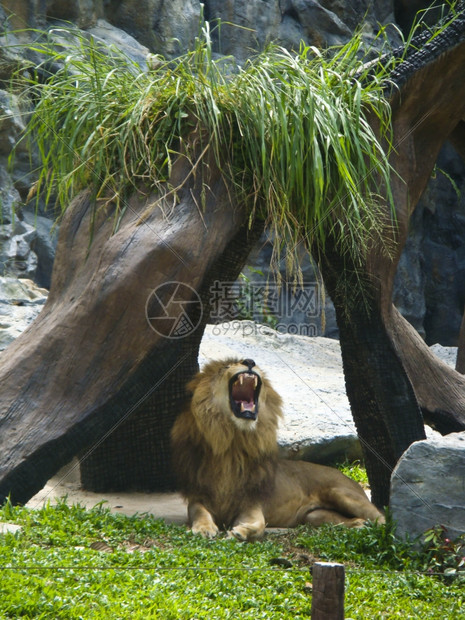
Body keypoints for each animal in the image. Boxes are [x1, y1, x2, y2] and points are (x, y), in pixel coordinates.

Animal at [171, 356, 384, 540]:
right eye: (226, 367)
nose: (249, 362)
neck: (234, 443)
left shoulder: (253, 503)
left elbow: (259, 525)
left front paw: (241, 532)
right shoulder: (199, 497)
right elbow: (199, 513)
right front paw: (203, 529)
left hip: (343, 494)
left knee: (381, 517)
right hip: (314, 516)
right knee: (353, 520)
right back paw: (359, 525)